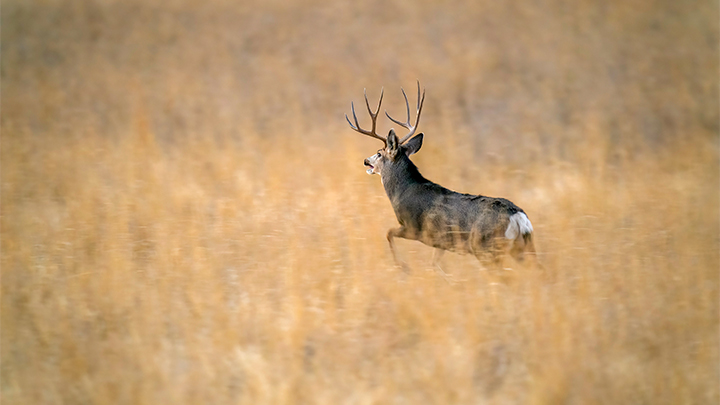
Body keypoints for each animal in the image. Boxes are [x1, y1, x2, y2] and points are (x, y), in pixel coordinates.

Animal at [346, 82, 536, 278]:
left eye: (379, 153)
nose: (365, 160)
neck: (403, 191)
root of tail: (519, 217)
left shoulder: (415, 228)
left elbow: (389, 233)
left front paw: (403, 266)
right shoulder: (440, 242)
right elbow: (433, 263)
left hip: (485, 246)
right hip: (522, 247)